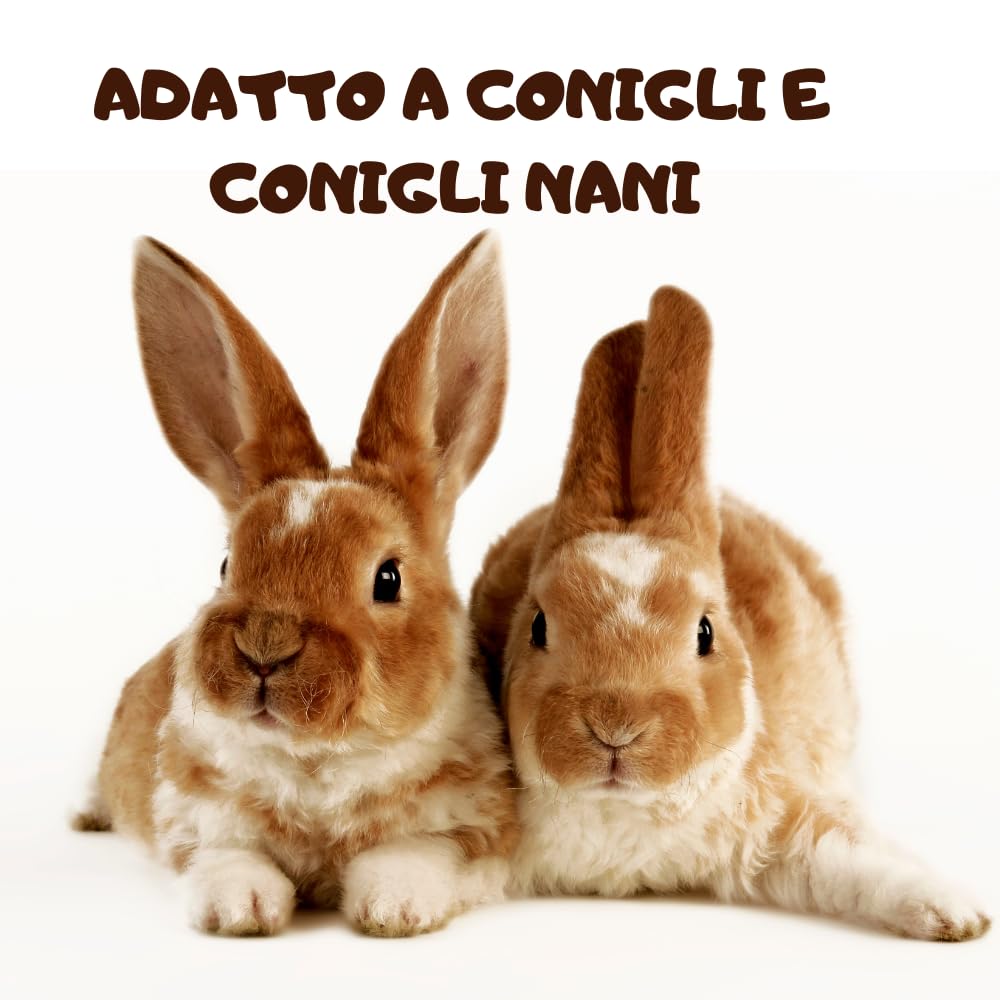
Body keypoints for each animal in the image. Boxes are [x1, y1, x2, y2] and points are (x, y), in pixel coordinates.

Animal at [73, 231, 518, 937]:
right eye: (226, 564)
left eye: (387, 578)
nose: (265, 646)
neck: (317, 759)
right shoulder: (198, 820)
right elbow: (228, 858)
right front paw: (241, 909)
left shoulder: (474, 826)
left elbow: (415, 853)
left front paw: (392, 907)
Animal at [470, 287, 989, 941]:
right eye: (537, 626)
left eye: (705, 631)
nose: (616, 727)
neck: (620, 809)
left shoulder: (787, 821)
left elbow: (858, 857)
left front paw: (957, 913)